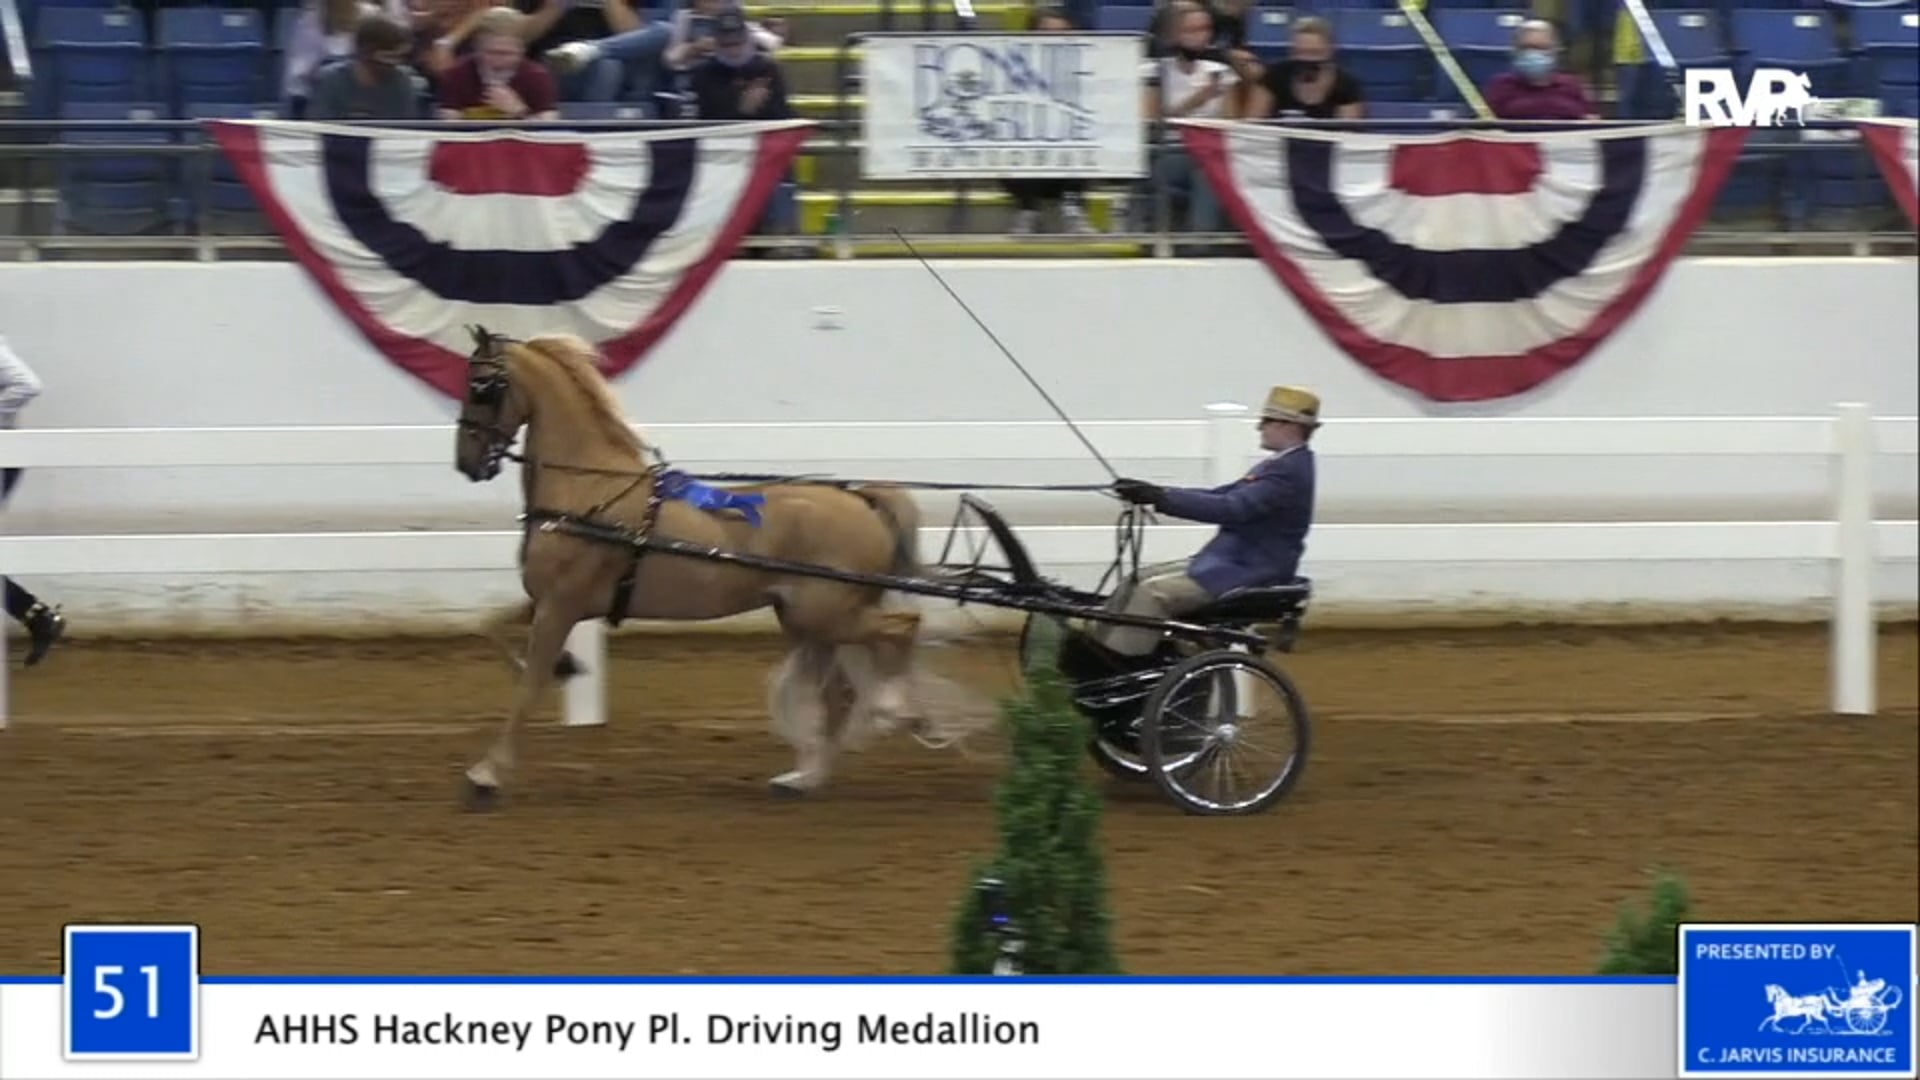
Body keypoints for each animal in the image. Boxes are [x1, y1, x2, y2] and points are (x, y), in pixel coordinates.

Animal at [451, 326, 929, 807]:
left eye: (482, 386)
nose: (466, 461)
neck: (587, 492)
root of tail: (860, 498)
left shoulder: (561, 605)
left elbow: (529, 685)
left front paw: (486, 774)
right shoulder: (548, 600)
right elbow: (487, 627)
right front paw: (566, 665)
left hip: (829, 613)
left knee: (902, 628)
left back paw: (896, 711)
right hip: (808, 619)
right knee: (837, 692)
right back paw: (806, 778)